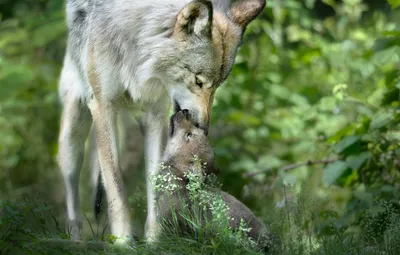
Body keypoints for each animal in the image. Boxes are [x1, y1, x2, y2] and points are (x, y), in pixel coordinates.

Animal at [57, 0, 266, 244]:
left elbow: (156, 182)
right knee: (72, 192)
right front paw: (123, 241)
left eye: (217, 85)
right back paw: (75, 239)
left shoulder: (156, 114)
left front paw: (154, 240)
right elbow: (115, 186)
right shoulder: (103, 107)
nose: (203, 128)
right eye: (198, 81)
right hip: (74, 134)